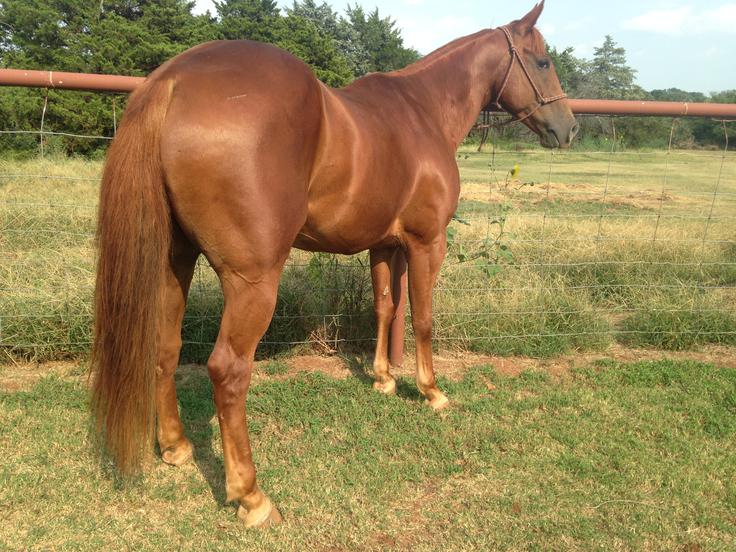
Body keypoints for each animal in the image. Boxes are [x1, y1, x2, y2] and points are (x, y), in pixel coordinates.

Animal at [90, 1, 577, 528]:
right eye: (544, 61)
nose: (569, 127)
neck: (422, 112)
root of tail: (173, 80)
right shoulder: (427, 243)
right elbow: (423, 319)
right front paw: (432, 391)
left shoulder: (384, 247)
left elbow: (385, 308)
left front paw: (383, 379)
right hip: (252, 281)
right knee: (228, 370)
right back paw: (252, 496)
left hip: (174, 262)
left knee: (166, 345)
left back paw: (176, 446)